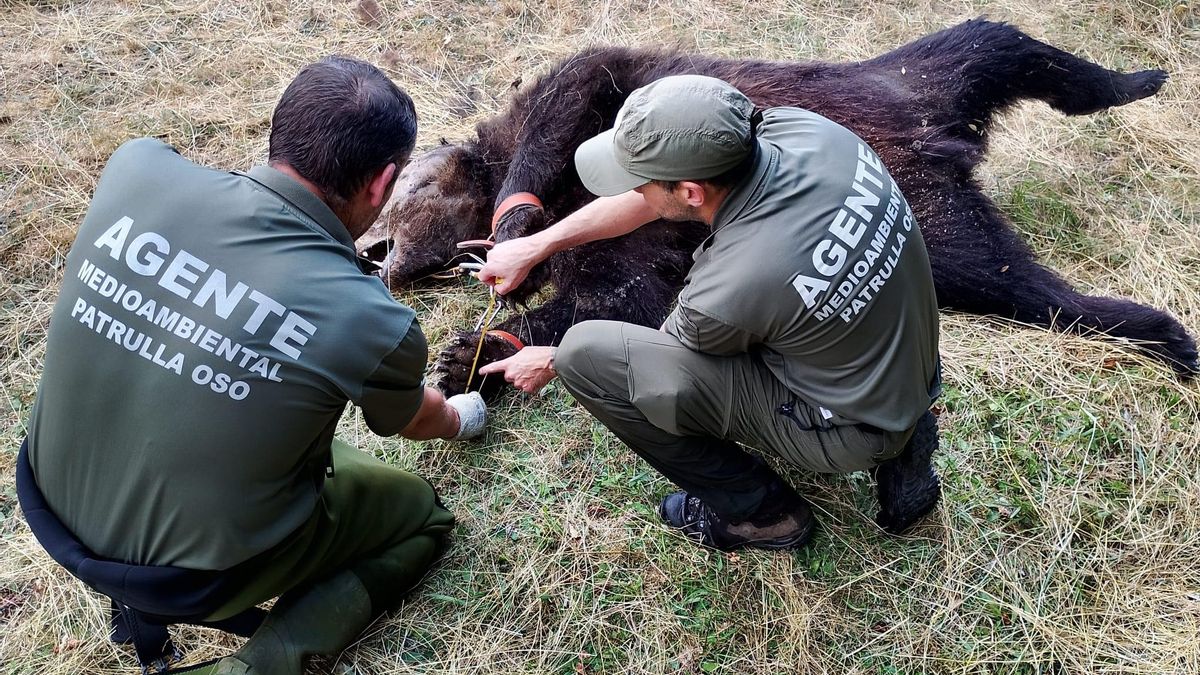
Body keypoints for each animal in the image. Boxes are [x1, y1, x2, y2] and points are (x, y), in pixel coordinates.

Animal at [354, 18, 1198, 397]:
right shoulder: (625, 248)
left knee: (1008, 47)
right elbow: (624, 295)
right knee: (1018, 276)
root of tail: (943, 143)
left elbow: (578, 84)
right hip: (938, 202)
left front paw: (512, 233)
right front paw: (472, 352)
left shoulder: (602, 95)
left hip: (903, 82)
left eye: (403, 185)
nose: (370, 249)